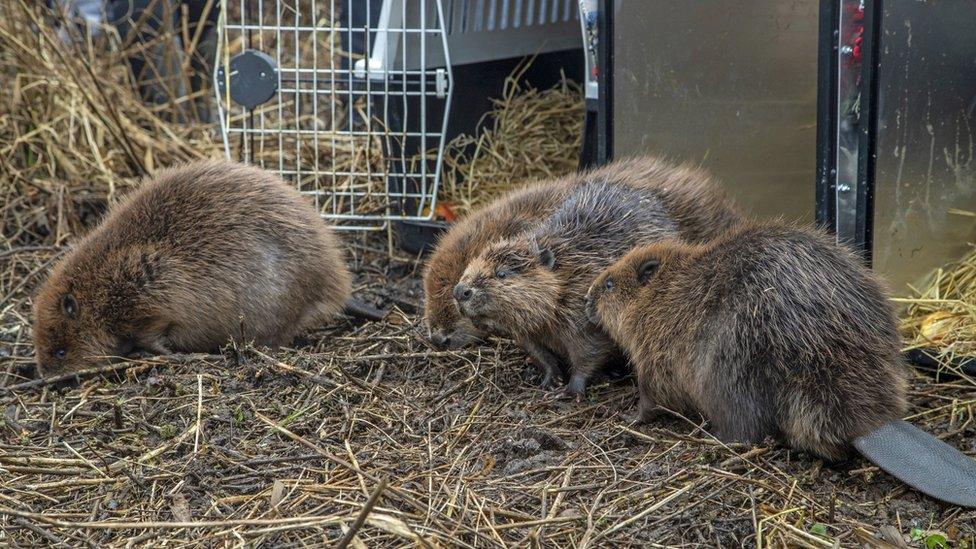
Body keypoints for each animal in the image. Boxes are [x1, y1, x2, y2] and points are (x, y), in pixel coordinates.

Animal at [35, 159, 354, 376]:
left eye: (60, 351)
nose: (47, 376)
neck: (101, 281)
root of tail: (336, 284)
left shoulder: (152, 284)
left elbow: (153, 331)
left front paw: (165, 352)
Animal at [584, 222, 976, 506]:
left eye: (609, 284)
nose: (588, 297)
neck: (664, 294)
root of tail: (872, 424)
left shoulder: (654, 354)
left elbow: (651, 397)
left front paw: (626, 416)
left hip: (730, 369)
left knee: (746, 429)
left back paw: (711, 437)